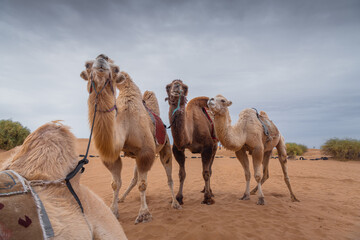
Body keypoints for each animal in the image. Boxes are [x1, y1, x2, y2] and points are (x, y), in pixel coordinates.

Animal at [79, 54, 179, 223]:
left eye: (116, 69)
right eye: (87, 65)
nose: (102, 58)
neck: (125, 123)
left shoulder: (146, 153)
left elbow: (142, 184)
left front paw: (144, 214)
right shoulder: (114, 156)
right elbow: (115, 183)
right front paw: (113, 210)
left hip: (165, 147)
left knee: (169, 176)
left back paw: (175, 203)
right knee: (134, 178)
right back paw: (122, 198)